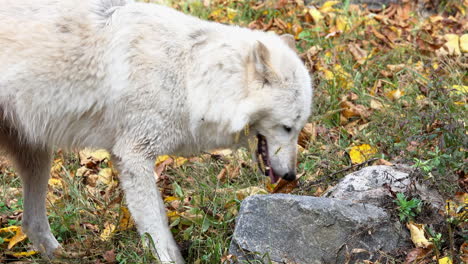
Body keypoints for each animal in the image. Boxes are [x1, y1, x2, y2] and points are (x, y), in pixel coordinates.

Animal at [0, 0, 314, 260]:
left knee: (30, 222)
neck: (189, 76)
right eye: (286, 127)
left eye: (299, 128)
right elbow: (158, 231)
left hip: (37, 156)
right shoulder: (133, 157)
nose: (291, 176)